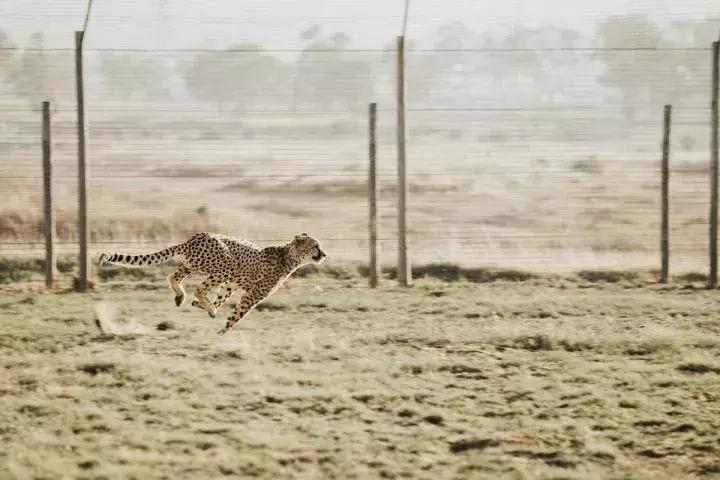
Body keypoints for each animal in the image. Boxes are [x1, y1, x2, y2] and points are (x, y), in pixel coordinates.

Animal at [97, 232, 326, 334]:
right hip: (225, 265)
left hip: (194, 265)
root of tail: (195, 237)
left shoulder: (231, 284)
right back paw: (203, 304)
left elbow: (221, 298)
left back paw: (182, 297)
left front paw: (206, 307)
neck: (289, 256)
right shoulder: (252, 294)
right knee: (198, 287)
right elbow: (237, 315)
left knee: (174, 276)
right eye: (315, 246)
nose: (324, 254)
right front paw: (222, 331)